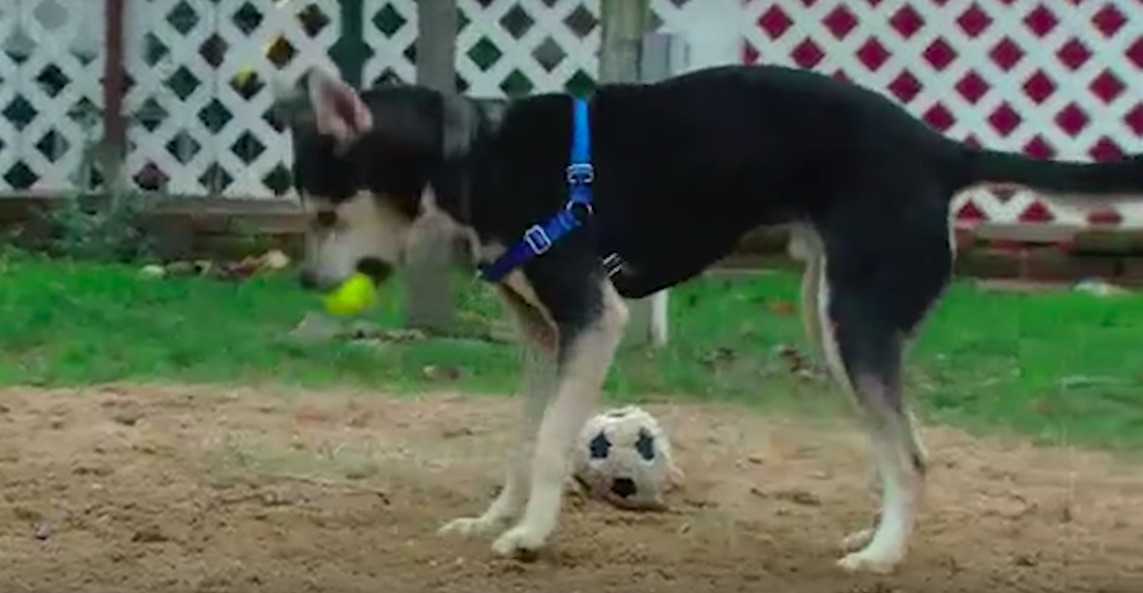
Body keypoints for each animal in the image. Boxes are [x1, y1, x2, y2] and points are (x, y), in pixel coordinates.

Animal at [274, 65, 1143, 575]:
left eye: (325, 211)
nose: (309, 280)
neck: (469, 152)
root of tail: (939, 149)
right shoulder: (544, 336)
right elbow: (522, 442)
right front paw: (493, 515)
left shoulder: (593, 319)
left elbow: (552, 442)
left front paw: (529, 535)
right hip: (833, 321)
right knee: (898, 447)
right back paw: (873, 537)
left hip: (852, 320)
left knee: (912, 455)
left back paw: (882, 556)